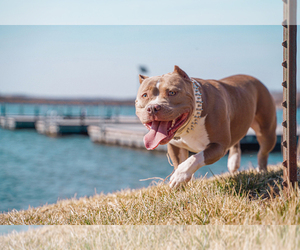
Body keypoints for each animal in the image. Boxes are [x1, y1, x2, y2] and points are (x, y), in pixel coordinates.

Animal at [135, 66, 276, 188]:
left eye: (172, 92)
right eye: (145, 95)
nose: (153, 108)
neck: (190, 124)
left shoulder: (218, 146)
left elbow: (194, 158)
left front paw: (179, 176)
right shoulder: (175, 146)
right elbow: (179, 163)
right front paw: (181, 186)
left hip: (267, 132)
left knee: (263, 152)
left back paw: (261, 171)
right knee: (235, 139)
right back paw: (233, 161)